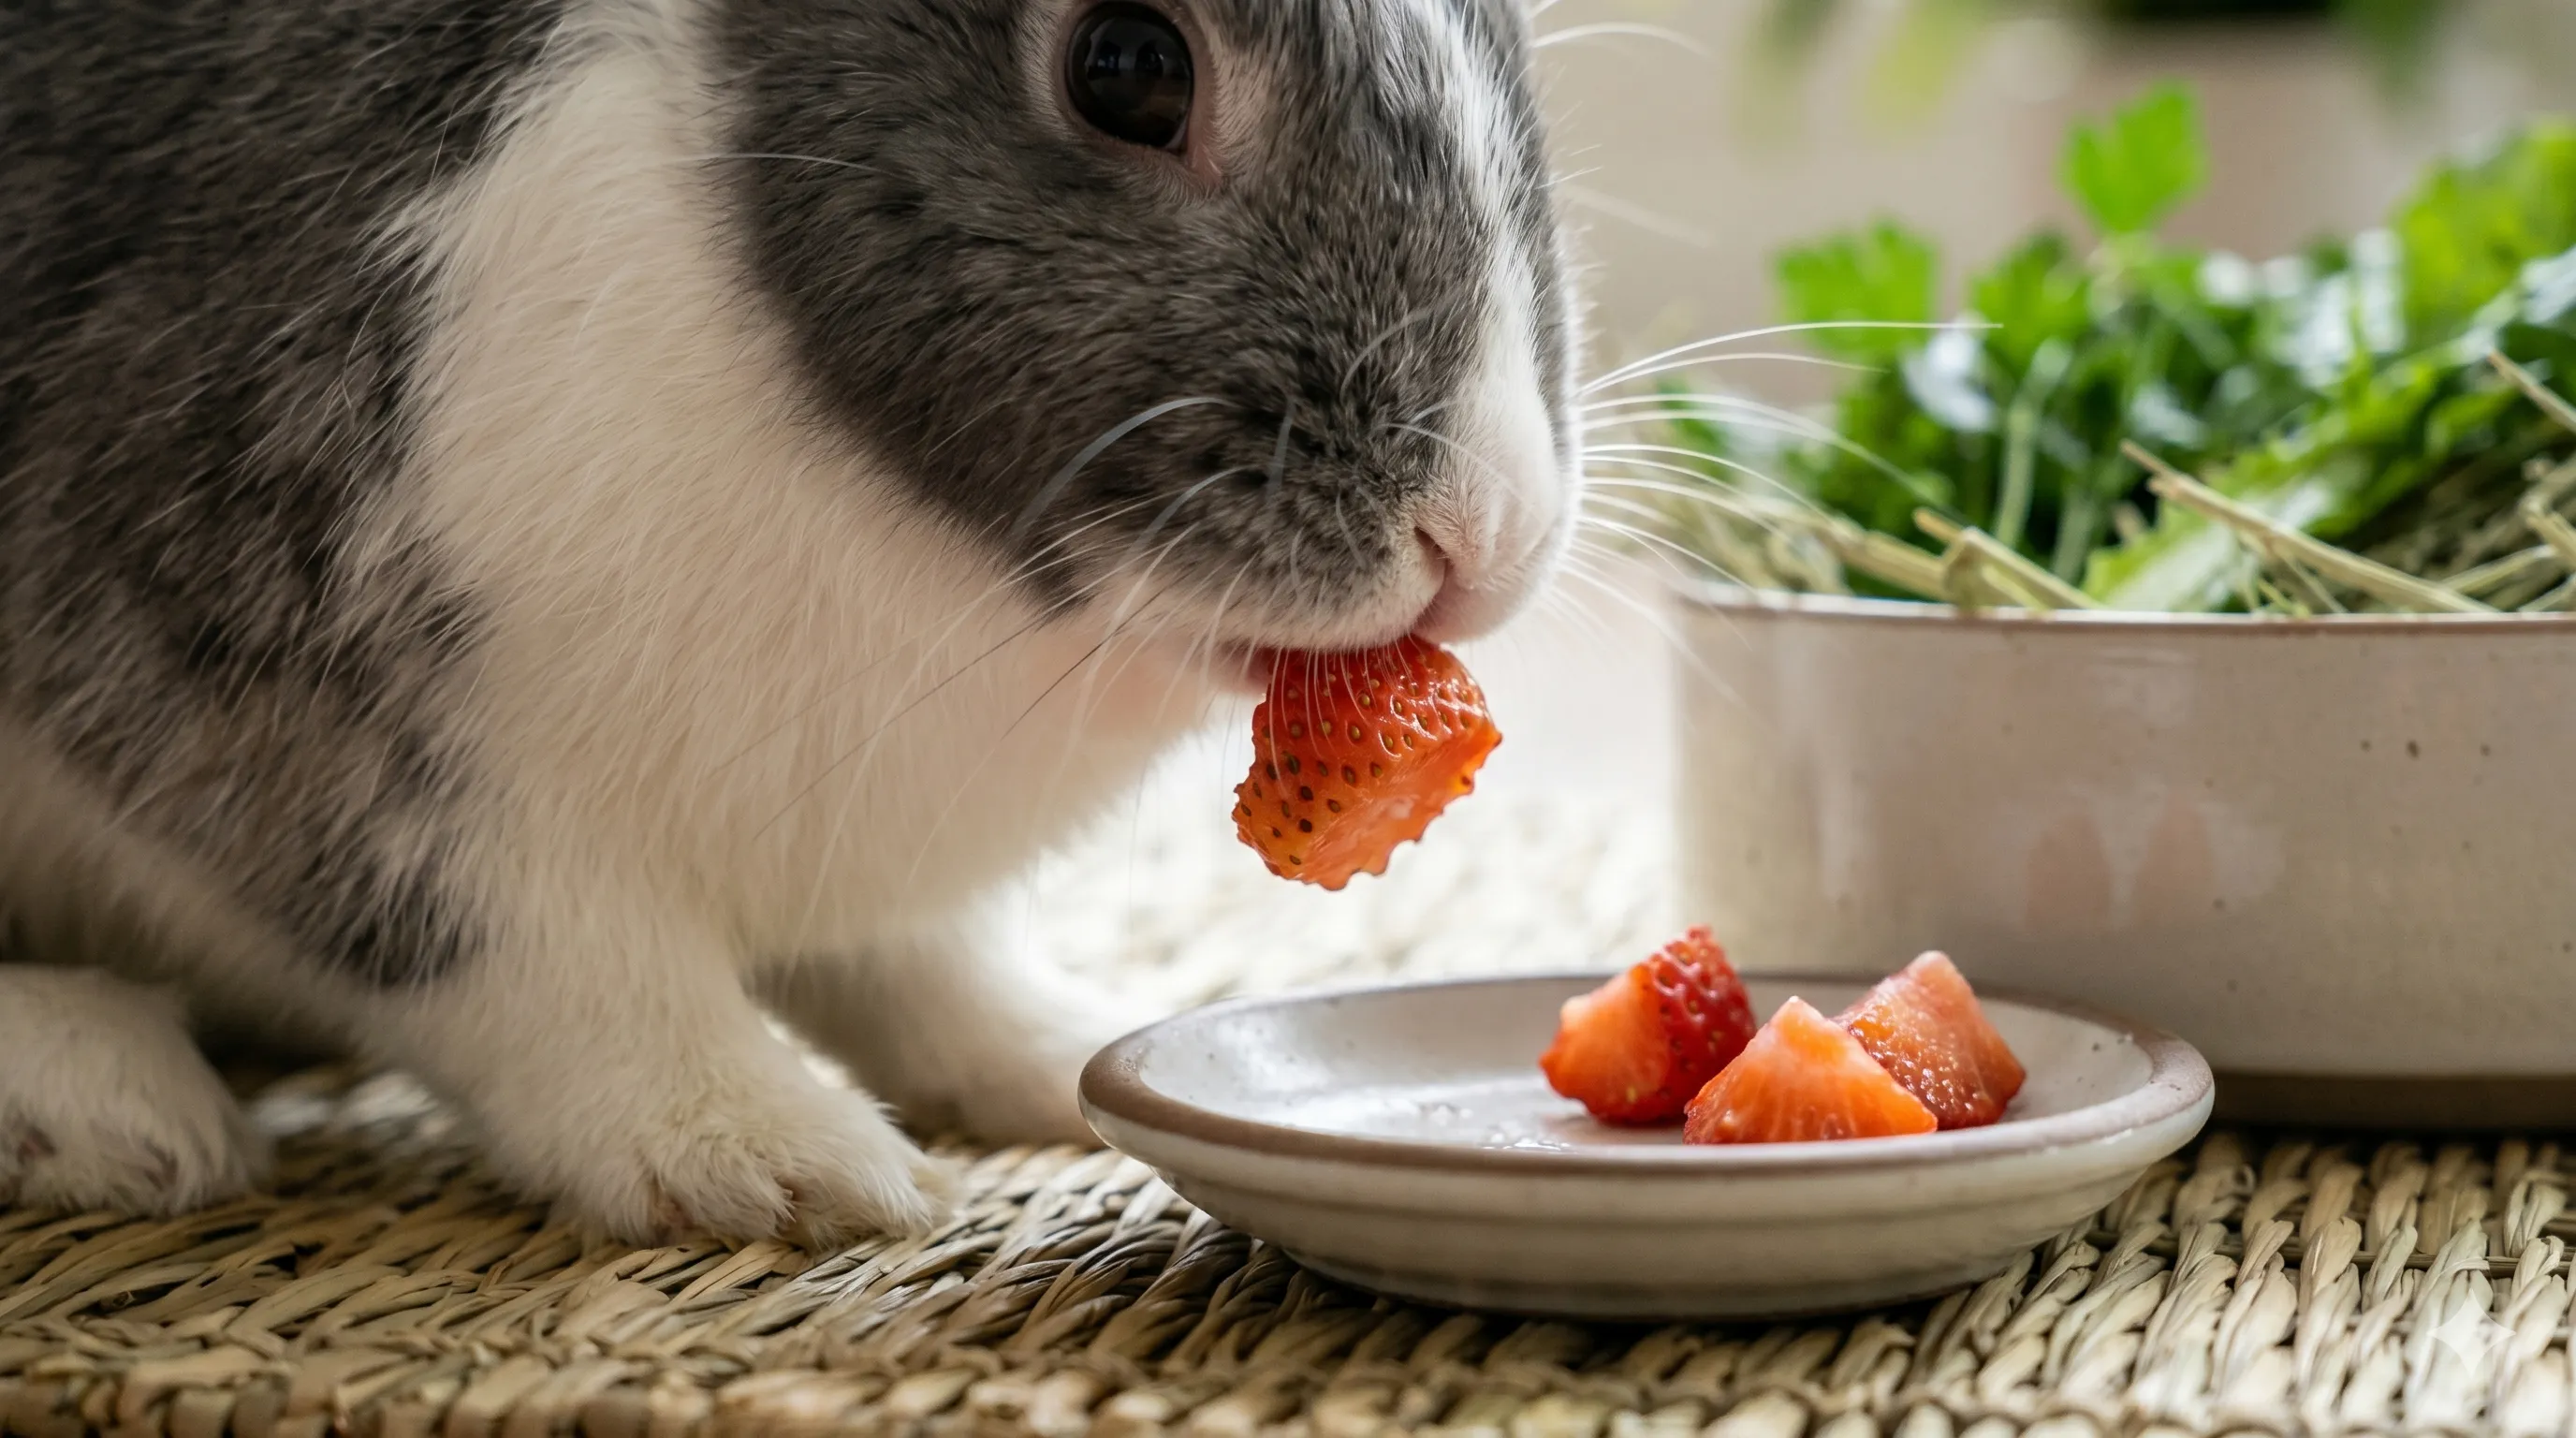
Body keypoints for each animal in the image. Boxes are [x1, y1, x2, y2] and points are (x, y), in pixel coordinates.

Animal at [0, 0, 1578, 1245]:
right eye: (1129, 66)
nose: (1482, 534)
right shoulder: (260, 665)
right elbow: (529, 951)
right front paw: (775, 1159)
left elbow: (917, 967)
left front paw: (1051, 1050)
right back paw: (115, 1105)